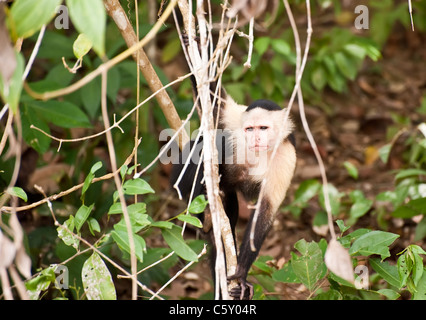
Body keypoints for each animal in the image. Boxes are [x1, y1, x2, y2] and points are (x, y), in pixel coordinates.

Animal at [170, 33, 296, 298]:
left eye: (263, 128)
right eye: (250, 129)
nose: (255, 138)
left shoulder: (286, 156)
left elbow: (265, 211)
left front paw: (241, 273)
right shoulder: (236, 118)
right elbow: (212, 99)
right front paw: (191, 41)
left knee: (230, 210)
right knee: (207, 148)